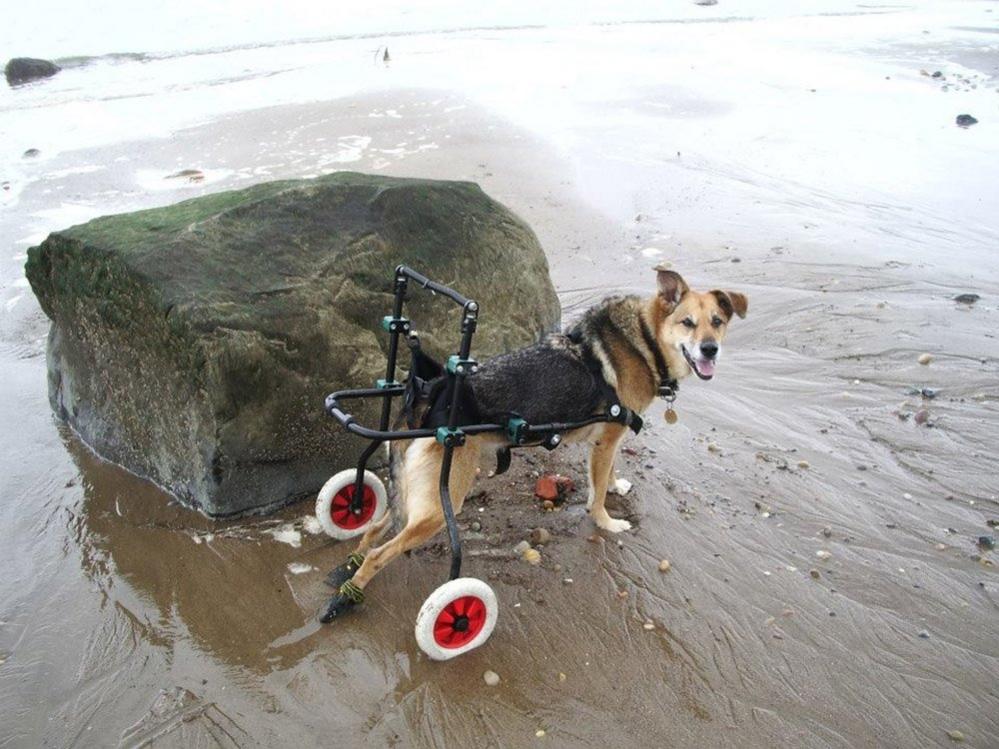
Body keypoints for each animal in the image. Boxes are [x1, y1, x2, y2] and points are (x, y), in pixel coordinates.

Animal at [322, 264, 752, 620]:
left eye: (716, 322)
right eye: (687, 323)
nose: (710, 348)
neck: (643, 339)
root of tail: (429, 392)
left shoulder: (610, 438)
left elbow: (610, 474)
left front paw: (616, 486)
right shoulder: (608, 439)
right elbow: (597, 492)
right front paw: (607, 521)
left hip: (413, 493)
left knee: (375, 528)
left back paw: (348, 559)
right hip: (441, 502)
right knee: (380, 553)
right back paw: (346, 598)